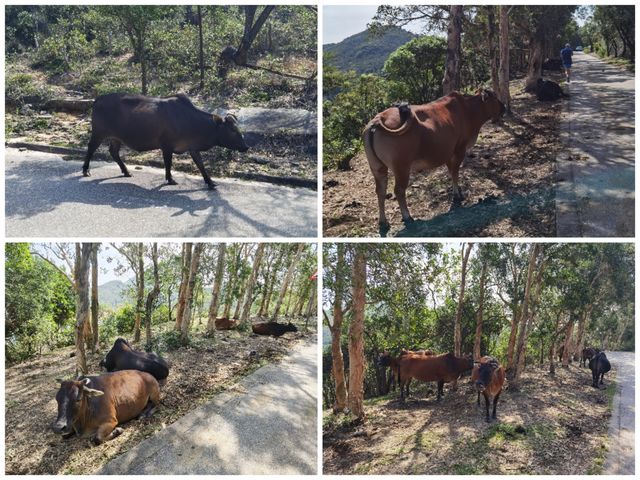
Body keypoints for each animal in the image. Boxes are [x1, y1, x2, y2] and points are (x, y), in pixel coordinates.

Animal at [82, 93, 248, 190]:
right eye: (232, 130)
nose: (245, 146)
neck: (191, 121)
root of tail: (98, 99)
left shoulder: (192, 147)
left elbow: (201, 165)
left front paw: (210, 182)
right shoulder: (167, 146)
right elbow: (168, 163)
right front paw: (170, 179)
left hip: (117, 137)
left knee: (114, 152)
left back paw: (126, 171)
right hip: (99, 132)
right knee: (91, 148)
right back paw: (85, 170)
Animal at [362, 89, 502, 235]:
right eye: (495, 98)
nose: (503, 107)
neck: (468, 110)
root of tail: (378, 120)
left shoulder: (448, 153)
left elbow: (451, 171)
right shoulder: (459, 149)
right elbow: (455, 172)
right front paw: (457, 195)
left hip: (377, 168)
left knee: (380, 191)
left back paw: (383, 222)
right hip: (401, 167)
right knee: (399, 190)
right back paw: (407, 217)